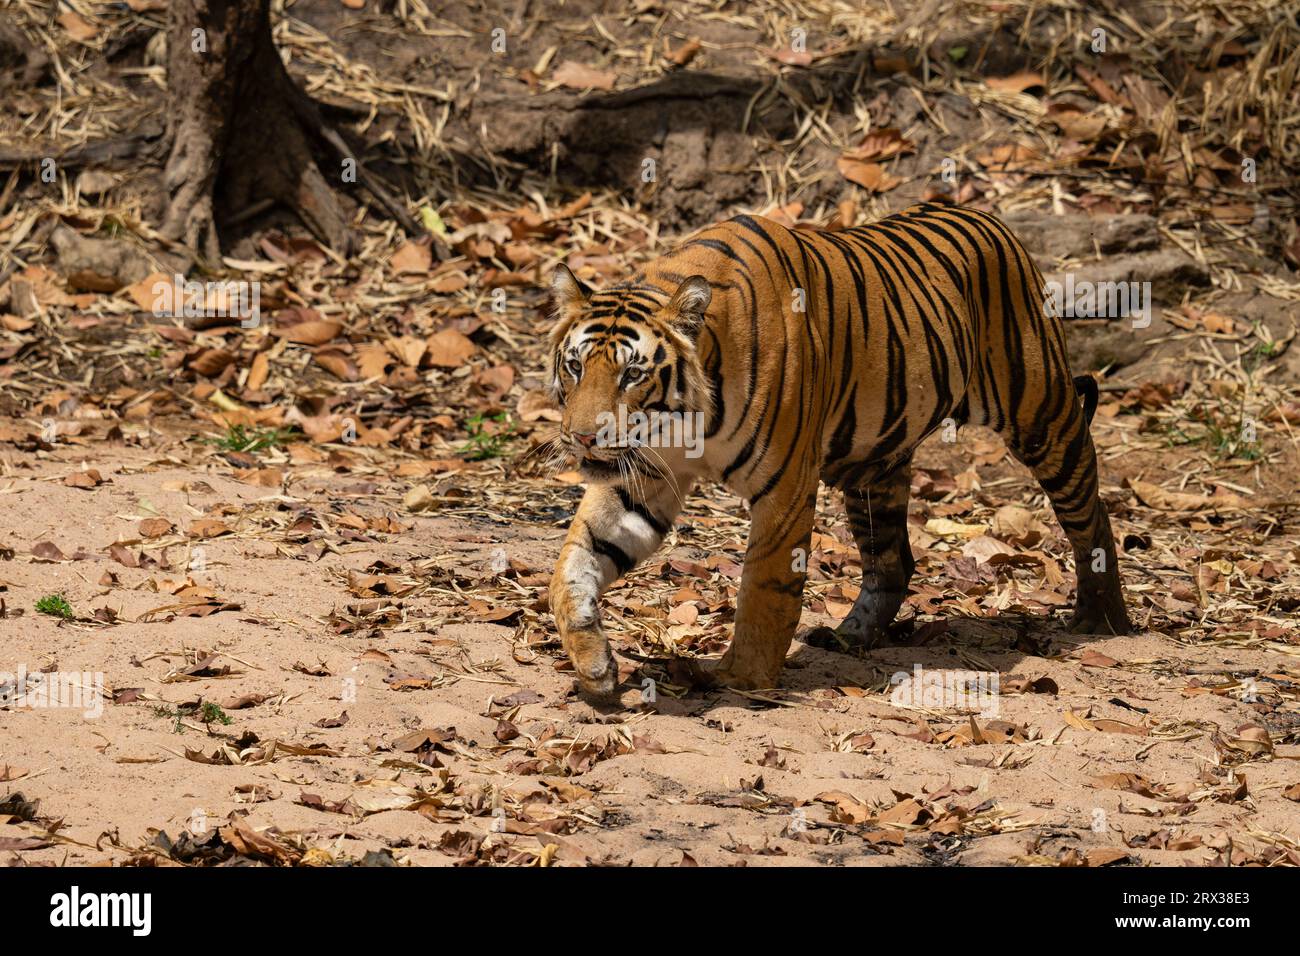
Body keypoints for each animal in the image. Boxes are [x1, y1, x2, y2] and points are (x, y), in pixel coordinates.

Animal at [538, 201, 1128, 697]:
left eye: (632, 374)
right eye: (575, 366)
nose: (583, 437)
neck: (682, 424)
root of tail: (990, 218)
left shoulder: (784, 486)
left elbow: (765, 583)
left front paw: (740, 677)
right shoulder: (640, 477)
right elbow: (573, 565)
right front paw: (593, 663)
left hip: (1043, 415)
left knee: (1091, 514)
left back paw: (1101, 619)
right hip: (875, 467)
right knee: (893, 560)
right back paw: (852, 637)